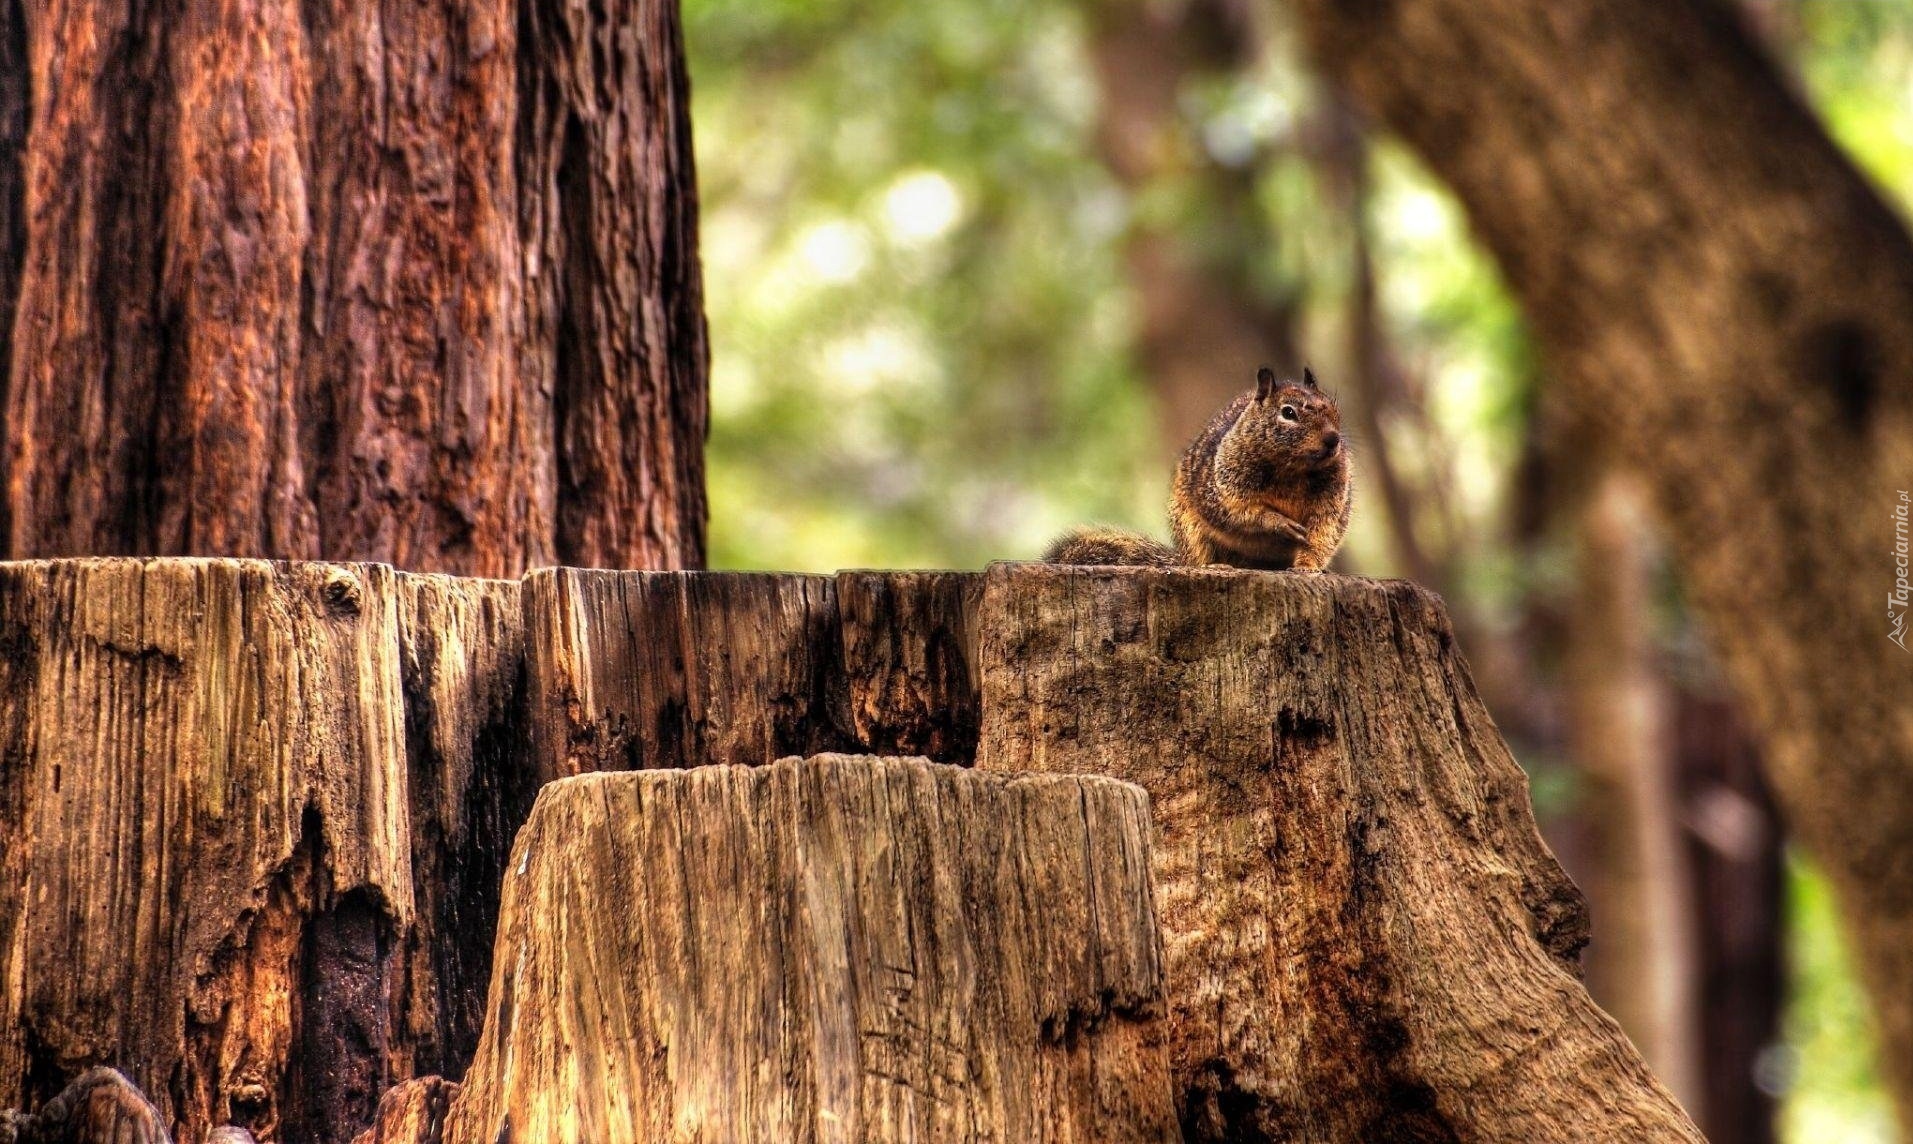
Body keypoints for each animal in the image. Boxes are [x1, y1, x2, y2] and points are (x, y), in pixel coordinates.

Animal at [1048, 367, 1346, 573]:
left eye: (1335, 409)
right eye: (1288, 412)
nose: (1333, 439)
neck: (1292, 469)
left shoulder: (1332, 500)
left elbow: (1322, 532)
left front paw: (1308, 567)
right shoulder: (1223, 486)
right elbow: (1239, 512)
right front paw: (1278, 522)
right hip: (1190, 530)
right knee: (1200, 557)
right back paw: (1216, 566)